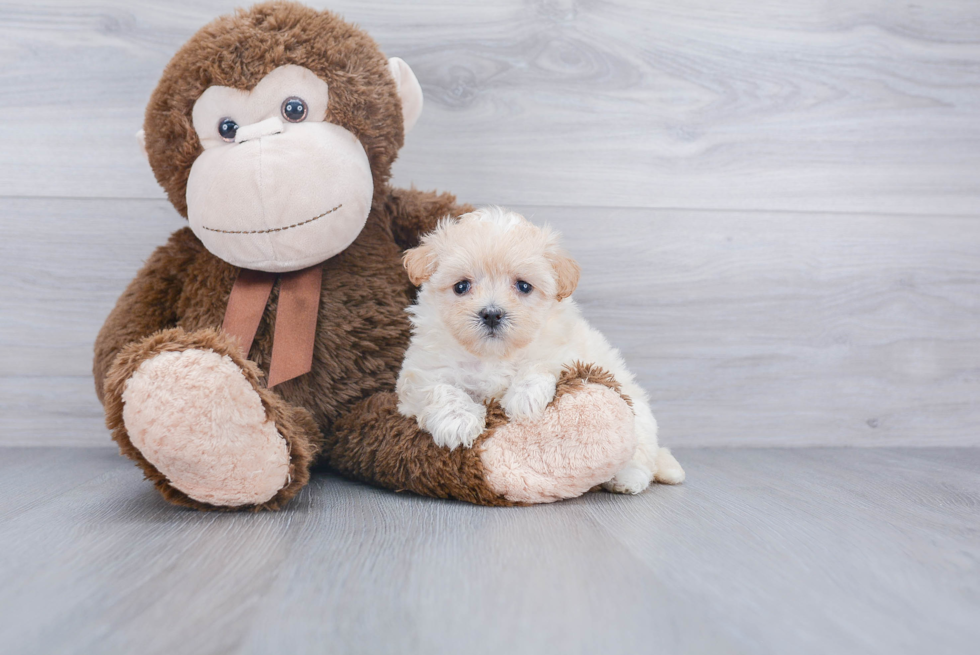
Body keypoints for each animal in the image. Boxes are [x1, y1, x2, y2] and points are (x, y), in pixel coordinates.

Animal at [394, 208, 684, 494]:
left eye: (523, 286)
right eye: (461, 286)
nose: (491, 313)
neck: (493, 355)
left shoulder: (566, 350)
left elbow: (542, 363)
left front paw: (524, 398)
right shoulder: (421, 371)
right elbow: (439, 388)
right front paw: (458, 421)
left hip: (639, 419)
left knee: (641, 458)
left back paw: (626, 479)